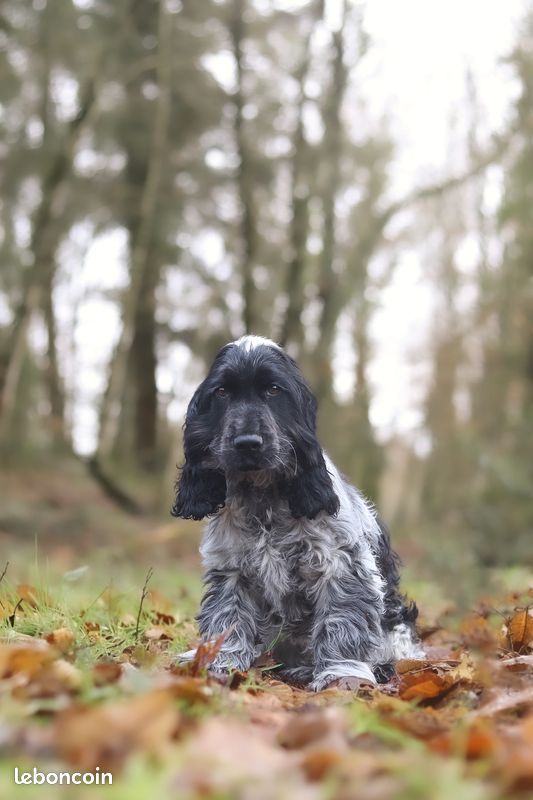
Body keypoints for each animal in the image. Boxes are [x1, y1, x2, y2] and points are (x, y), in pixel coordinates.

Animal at [172, 334, 422, 692]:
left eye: (274, 390)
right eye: (221, 393)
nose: (247, 442)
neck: (263, 497)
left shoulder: (341, 567)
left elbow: (342, 622)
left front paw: (342, 674)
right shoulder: (231, 571)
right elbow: (227, 617)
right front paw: (218, 663)